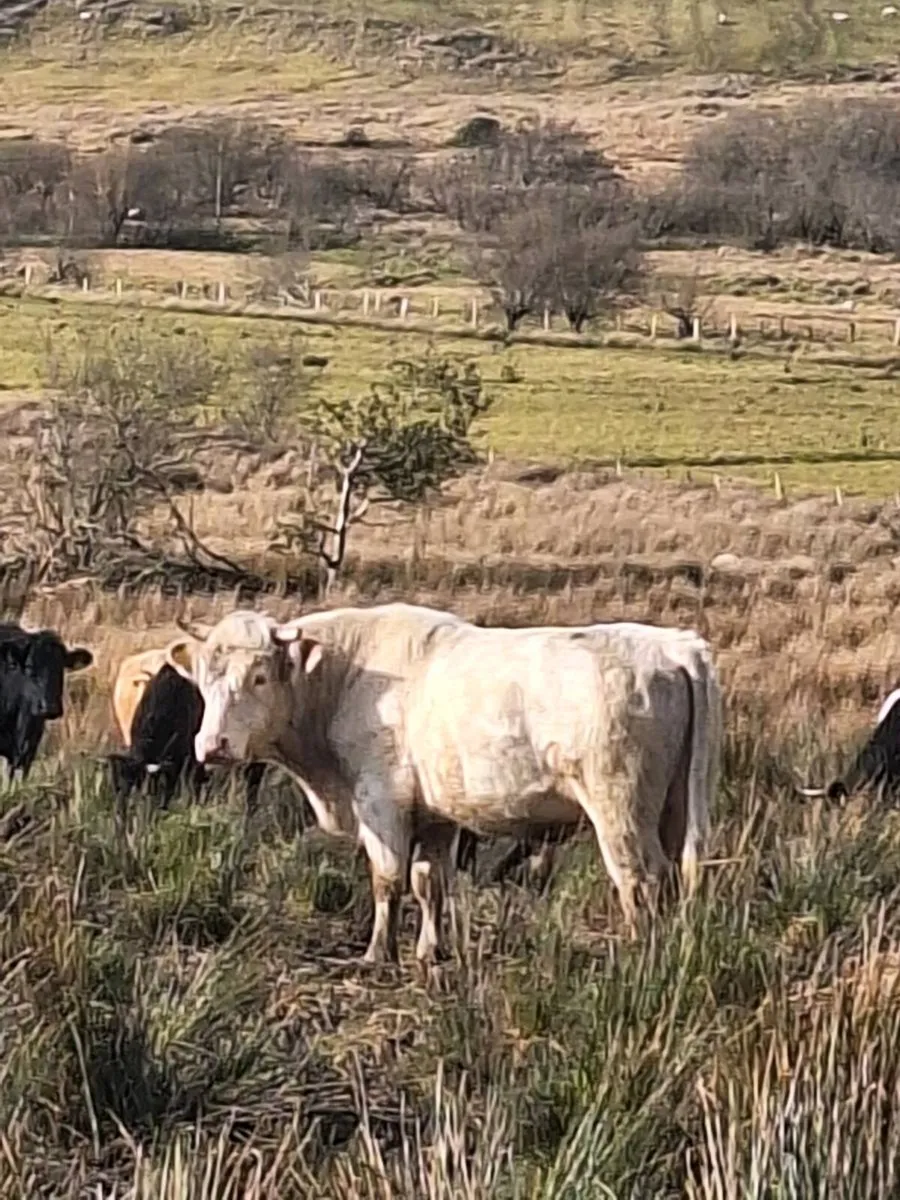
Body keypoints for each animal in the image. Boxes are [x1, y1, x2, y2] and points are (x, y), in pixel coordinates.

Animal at [164, 603, 719, 966]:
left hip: (619, 808)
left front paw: (377, 954)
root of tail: (674, 645)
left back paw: (638, 959)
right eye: (204, 677)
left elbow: (387, 879)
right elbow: (428, 881)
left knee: (640, 881)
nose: (212, 745)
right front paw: (430, 951)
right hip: (674, 806)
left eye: (258, 677)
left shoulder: (380, 802)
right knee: (674, 876)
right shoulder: (434, 814)